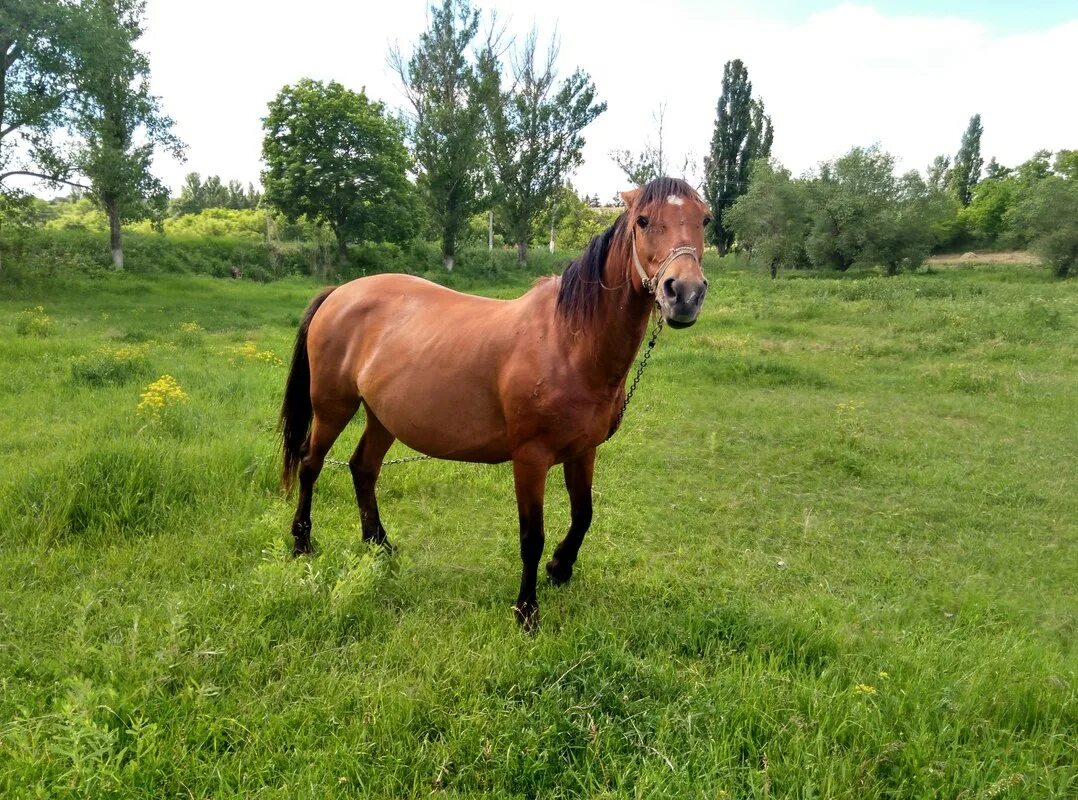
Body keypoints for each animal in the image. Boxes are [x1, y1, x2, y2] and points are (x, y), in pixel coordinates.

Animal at [282, 176, 711, 633]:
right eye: (643, 220)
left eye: (704, 219)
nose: (685, 293)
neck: (568, 342)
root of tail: (339, 293)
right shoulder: (530, 458)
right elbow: (531, 536)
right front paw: (526, 611)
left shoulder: (584, 452)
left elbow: (584, 514)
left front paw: (560, 568)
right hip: (333, 407)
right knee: (310, 464)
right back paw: (302, 542)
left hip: (382, 417)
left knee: (363, 468)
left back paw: (379, 545)